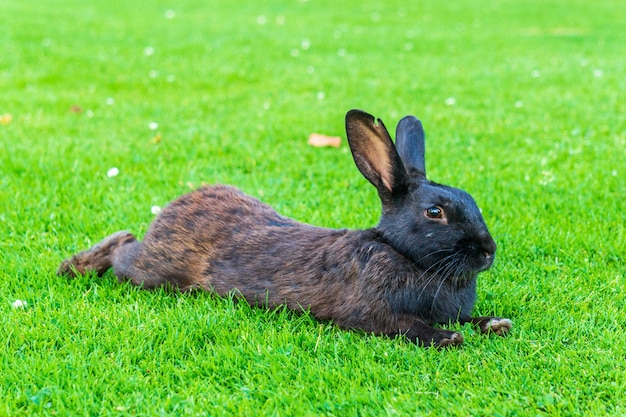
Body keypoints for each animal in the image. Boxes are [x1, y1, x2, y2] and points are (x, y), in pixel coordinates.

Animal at [56, 109, 510, 346]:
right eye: (435, 213)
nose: (488, 250)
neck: (402, 253)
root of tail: (173, 209)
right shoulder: (370, 313)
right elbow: (405, 326)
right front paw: (447, 338)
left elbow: (473, 319)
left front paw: (495, 324)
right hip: (155, 271)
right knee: (124, 248)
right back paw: (75, 266)